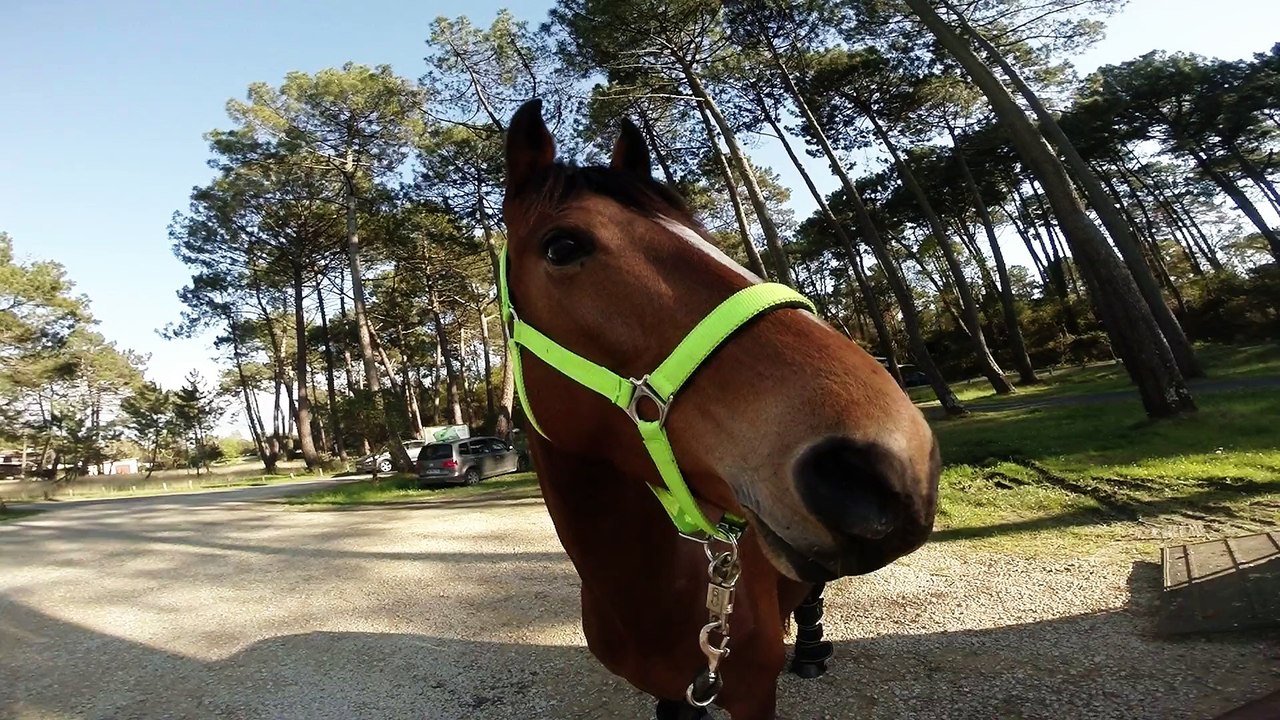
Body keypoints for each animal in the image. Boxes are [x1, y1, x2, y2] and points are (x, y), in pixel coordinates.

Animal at [499, 98, 940, 720]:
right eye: (562, 246)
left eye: (704, 234)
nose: (890, 461)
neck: (648, 595)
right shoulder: (671, 695)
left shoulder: (754, 695)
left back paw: (811, 649)